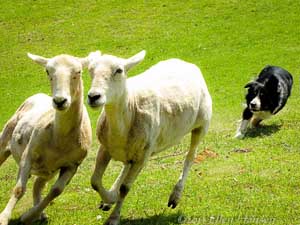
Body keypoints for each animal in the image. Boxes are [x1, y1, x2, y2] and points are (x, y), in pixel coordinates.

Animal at [0, 53, 92, 225]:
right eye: (48, 71)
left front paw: (28, 216)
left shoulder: (73, 165)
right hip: (5, 139)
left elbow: (56, 191)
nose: (60, 101)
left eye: (78, 72)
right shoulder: (28, 155)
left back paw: (39, 214)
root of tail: (38, 95)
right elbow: (19, 189)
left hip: (47, 170)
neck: (60, 140)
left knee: (37, 186)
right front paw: (3, 218)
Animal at [86, 50, 213, 225]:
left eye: (119, 70)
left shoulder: (143, 155)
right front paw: (110, 198)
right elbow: (95, 181)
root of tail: (186, 63)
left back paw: (175, 196)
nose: (93, 96)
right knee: (125, 165)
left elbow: (125, 188)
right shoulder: (105, 148)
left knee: (190, 157)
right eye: (90, 70)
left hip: (202, 124)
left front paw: (113, 216)